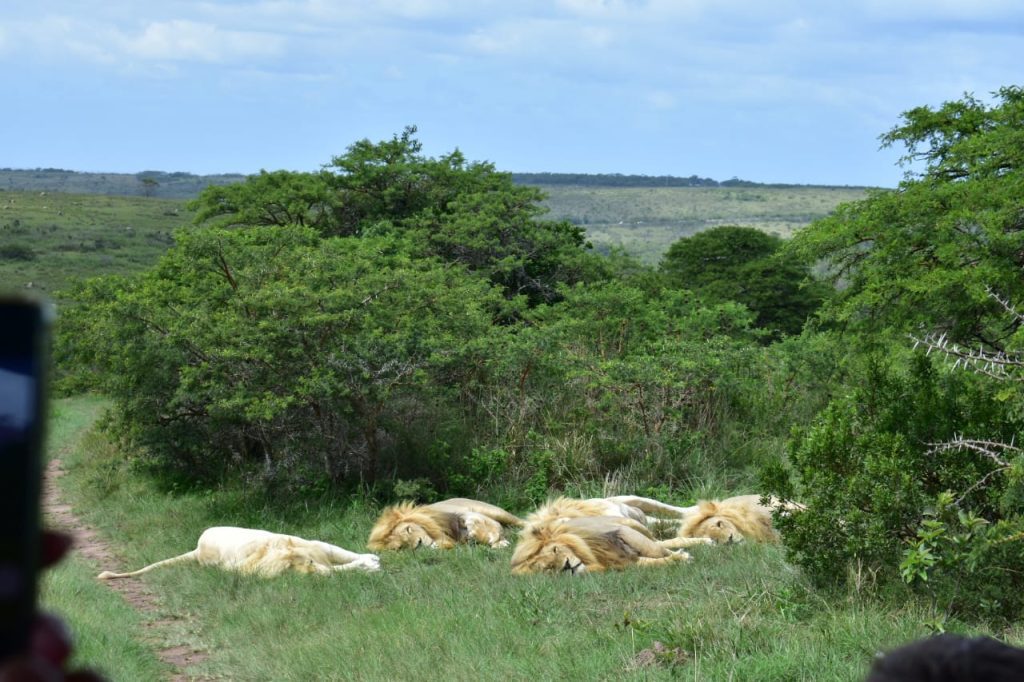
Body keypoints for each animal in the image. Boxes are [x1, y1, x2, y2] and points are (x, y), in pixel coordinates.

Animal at [512, 516, 696, 573]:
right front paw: (678, 559)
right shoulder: (624, 561)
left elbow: (656, 550)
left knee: (659, 542)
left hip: (631, 524)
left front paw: (683, 556)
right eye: (548, 568)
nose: (567, 566)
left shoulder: (622, 533)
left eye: (555, 549)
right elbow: (655, 561)